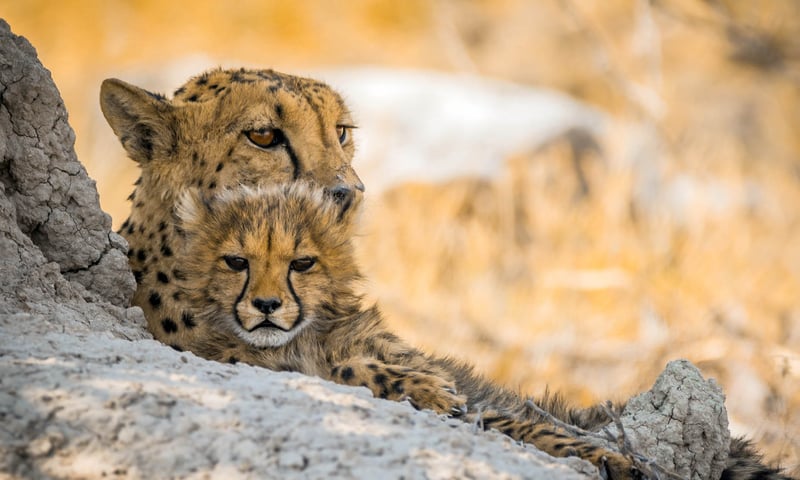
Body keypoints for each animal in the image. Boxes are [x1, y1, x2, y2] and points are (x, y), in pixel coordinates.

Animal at [176, 182, 796, 480]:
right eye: (236, 261)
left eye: (301, 262)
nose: (266, 305)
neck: (302, 337)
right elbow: (353, 368)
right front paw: (420, 390)